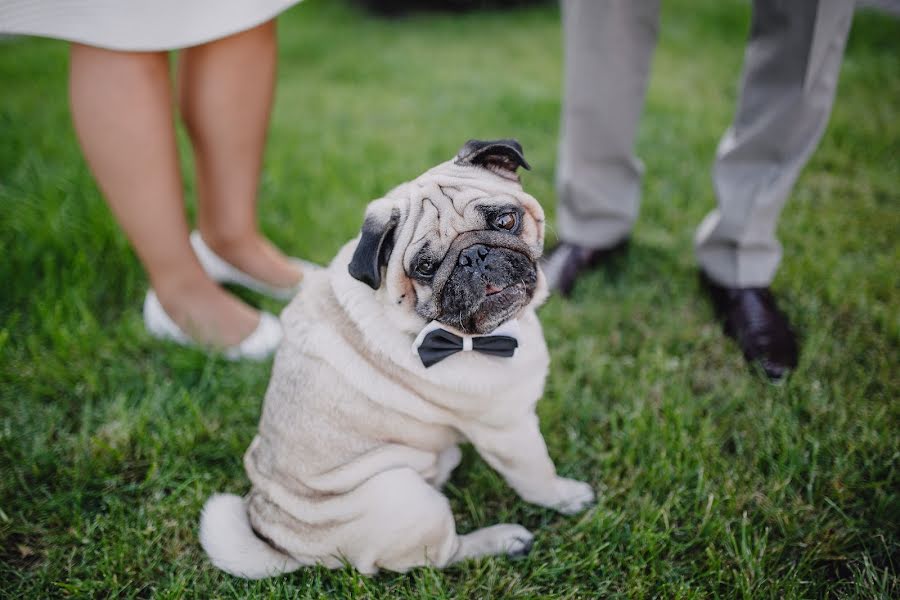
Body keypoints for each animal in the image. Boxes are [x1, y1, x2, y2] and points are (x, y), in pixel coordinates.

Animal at [200, 139, 596, 576]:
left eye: (505, 220)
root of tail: (282, 540)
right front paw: (566, 497)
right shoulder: (509, 429)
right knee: (441, 556)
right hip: (407, 496)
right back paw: (504, 540)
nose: (473, 256)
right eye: (425, 268)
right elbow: (537, 475)